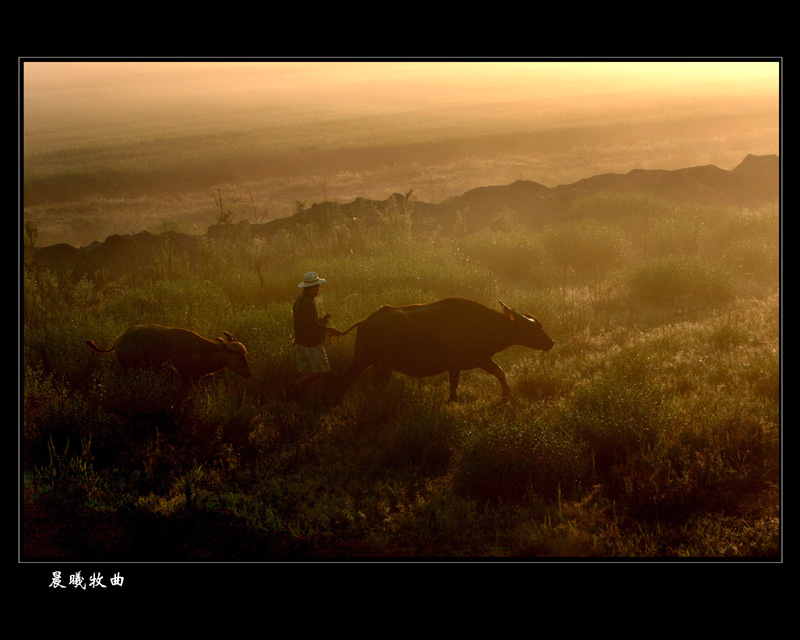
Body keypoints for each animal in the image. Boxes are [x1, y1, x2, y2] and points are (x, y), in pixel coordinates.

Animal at [336, 298, 552, 400]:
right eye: (534, 328)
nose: (551, 342)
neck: (486, 324)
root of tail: (366, 321)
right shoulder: (481, 359)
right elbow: (500, 372)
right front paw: (507, 396)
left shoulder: (455, 366)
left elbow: (454, 383)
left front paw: (452, 400)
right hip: (363, 359)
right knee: (347, 377)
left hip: (382, 365)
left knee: (379, 384)